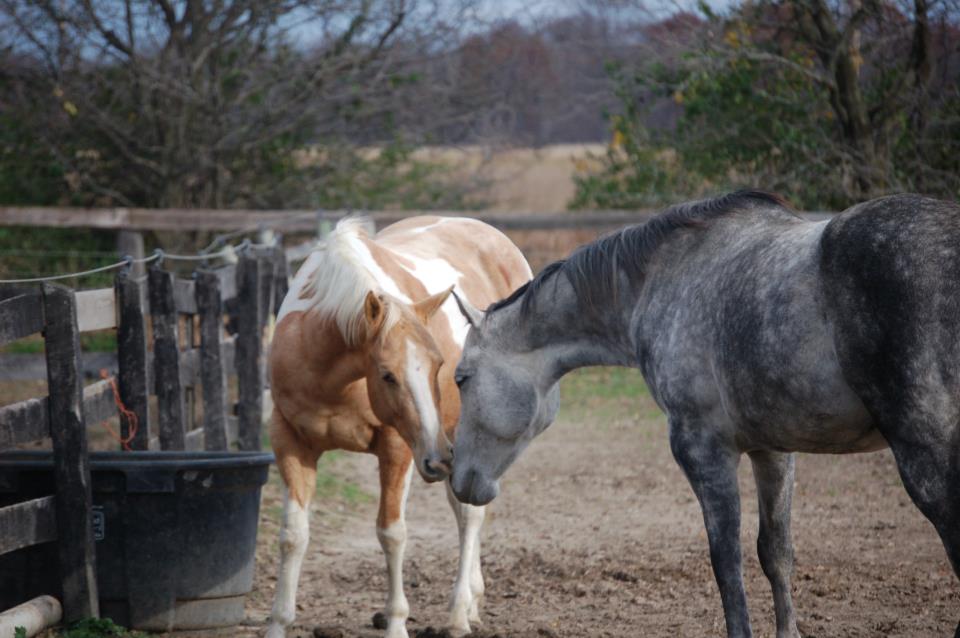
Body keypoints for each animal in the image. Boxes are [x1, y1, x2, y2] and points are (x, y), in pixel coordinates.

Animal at [266, 219, 528, 638]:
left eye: (439, 364)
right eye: (388, 375)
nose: (437, 460)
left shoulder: (399, 447)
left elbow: (392, 533)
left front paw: (396, 624)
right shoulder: (289, 441)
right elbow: (294, 535)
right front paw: (278, 623)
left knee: (470, 515)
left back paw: (458, 613)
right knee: (463, 509)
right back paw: (471, 603)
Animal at [434, 192, 960, 638]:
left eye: (461, 377)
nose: (459, 475)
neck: (660, 280)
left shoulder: (703, 450)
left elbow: (725, 561)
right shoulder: (773, 450)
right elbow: (776, 553)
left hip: (924, 457)